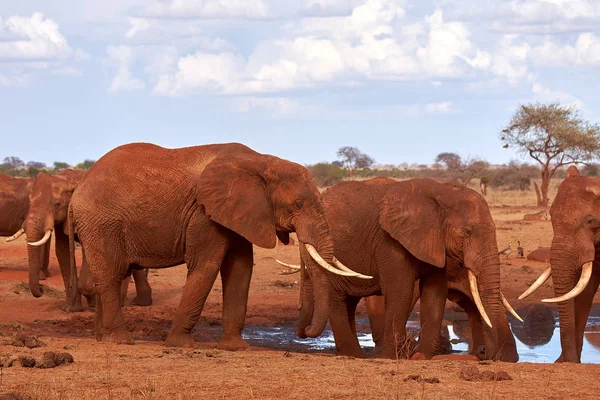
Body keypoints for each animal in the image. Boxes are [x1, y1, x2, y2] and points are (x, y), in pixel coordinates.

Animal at [66, 142, 354, 348]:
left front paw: (236, 348)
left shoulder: (240, 214)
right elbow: (206, 265)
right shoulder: (205, 214)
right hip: (102, 223)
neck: (262, 162)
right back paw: (122, 340)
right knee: (111, 275)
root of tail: (79, 188)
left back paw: (102, 338)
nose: (303, 331)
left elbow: (240, 269)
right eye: (297, 205)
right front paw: (182, 345)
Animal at [292, 178, 516, 360]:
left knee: (349, 301)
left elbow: (435, 293)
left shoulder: (434, 242)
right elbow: (401, 292)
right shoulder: (389, 241)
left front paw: (423, 357)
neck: (441, 193)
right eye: (467, 232)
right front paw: (390, 358)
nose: (482, 352)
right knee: (336, 298)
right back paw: (354, 355)